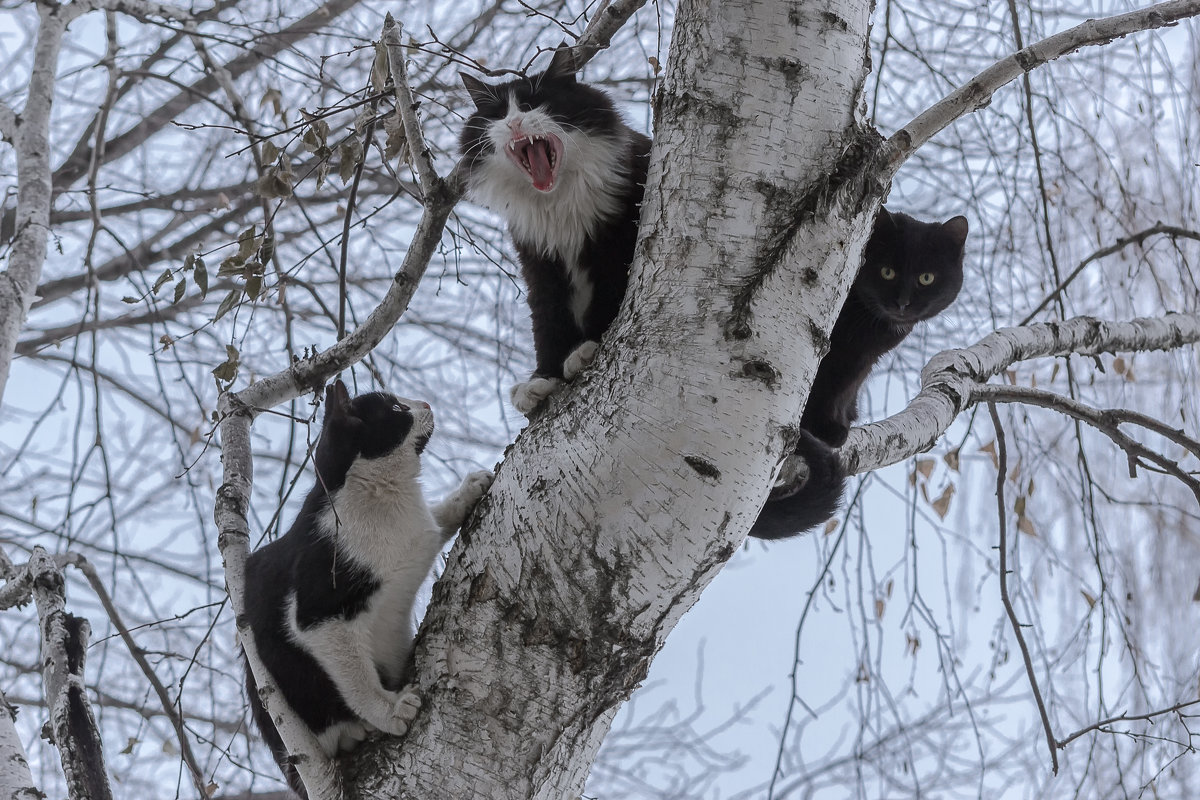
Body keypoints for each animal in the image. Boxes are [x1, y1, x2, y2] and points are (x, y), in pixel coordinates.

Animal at [242, 381, 492, 796]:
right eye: (395, 408)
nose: (425, 404)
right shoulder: (319, 614)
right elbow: (356, 678)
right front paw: (389, 710)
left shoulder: (420, 536)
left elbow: (435, 523)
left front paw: (469, 490)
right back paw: (356, 730)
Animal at [458, 48, 652, 412]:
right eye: (499, 114)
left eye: (533, 104)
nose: (514, 123)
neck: (558, 206)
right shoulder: (539, 262)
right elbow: (547, 322)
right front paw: (541, 380)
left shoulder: (615, 243)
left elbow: (609, 298)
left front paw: (587, 347)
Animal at [753, 209, 969, 542]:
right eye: (887, 272)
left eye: (926, 278)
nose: (902, 303)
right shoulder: (832, 353)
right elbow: (824, 387)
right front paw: (825, 429)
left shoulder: (859, 362)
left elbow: (843, 388)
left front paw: (837, 424)